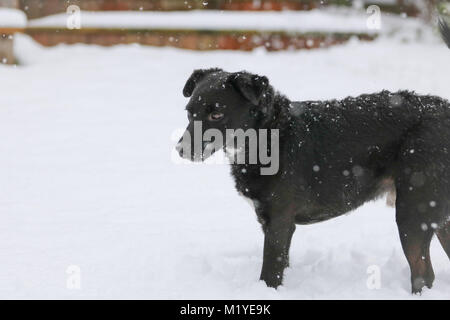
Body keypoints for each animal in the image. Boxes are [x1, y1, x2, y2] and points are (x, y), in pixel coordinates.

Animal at [178, 22, 450, 294]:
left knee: (424, 275)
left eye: (216, 114)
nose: (180, 149)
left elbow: (270, 275)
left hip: (413, 213)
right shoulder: (274, 223)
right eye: (190, 113)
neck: (271, 135)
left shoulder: (279, 222)